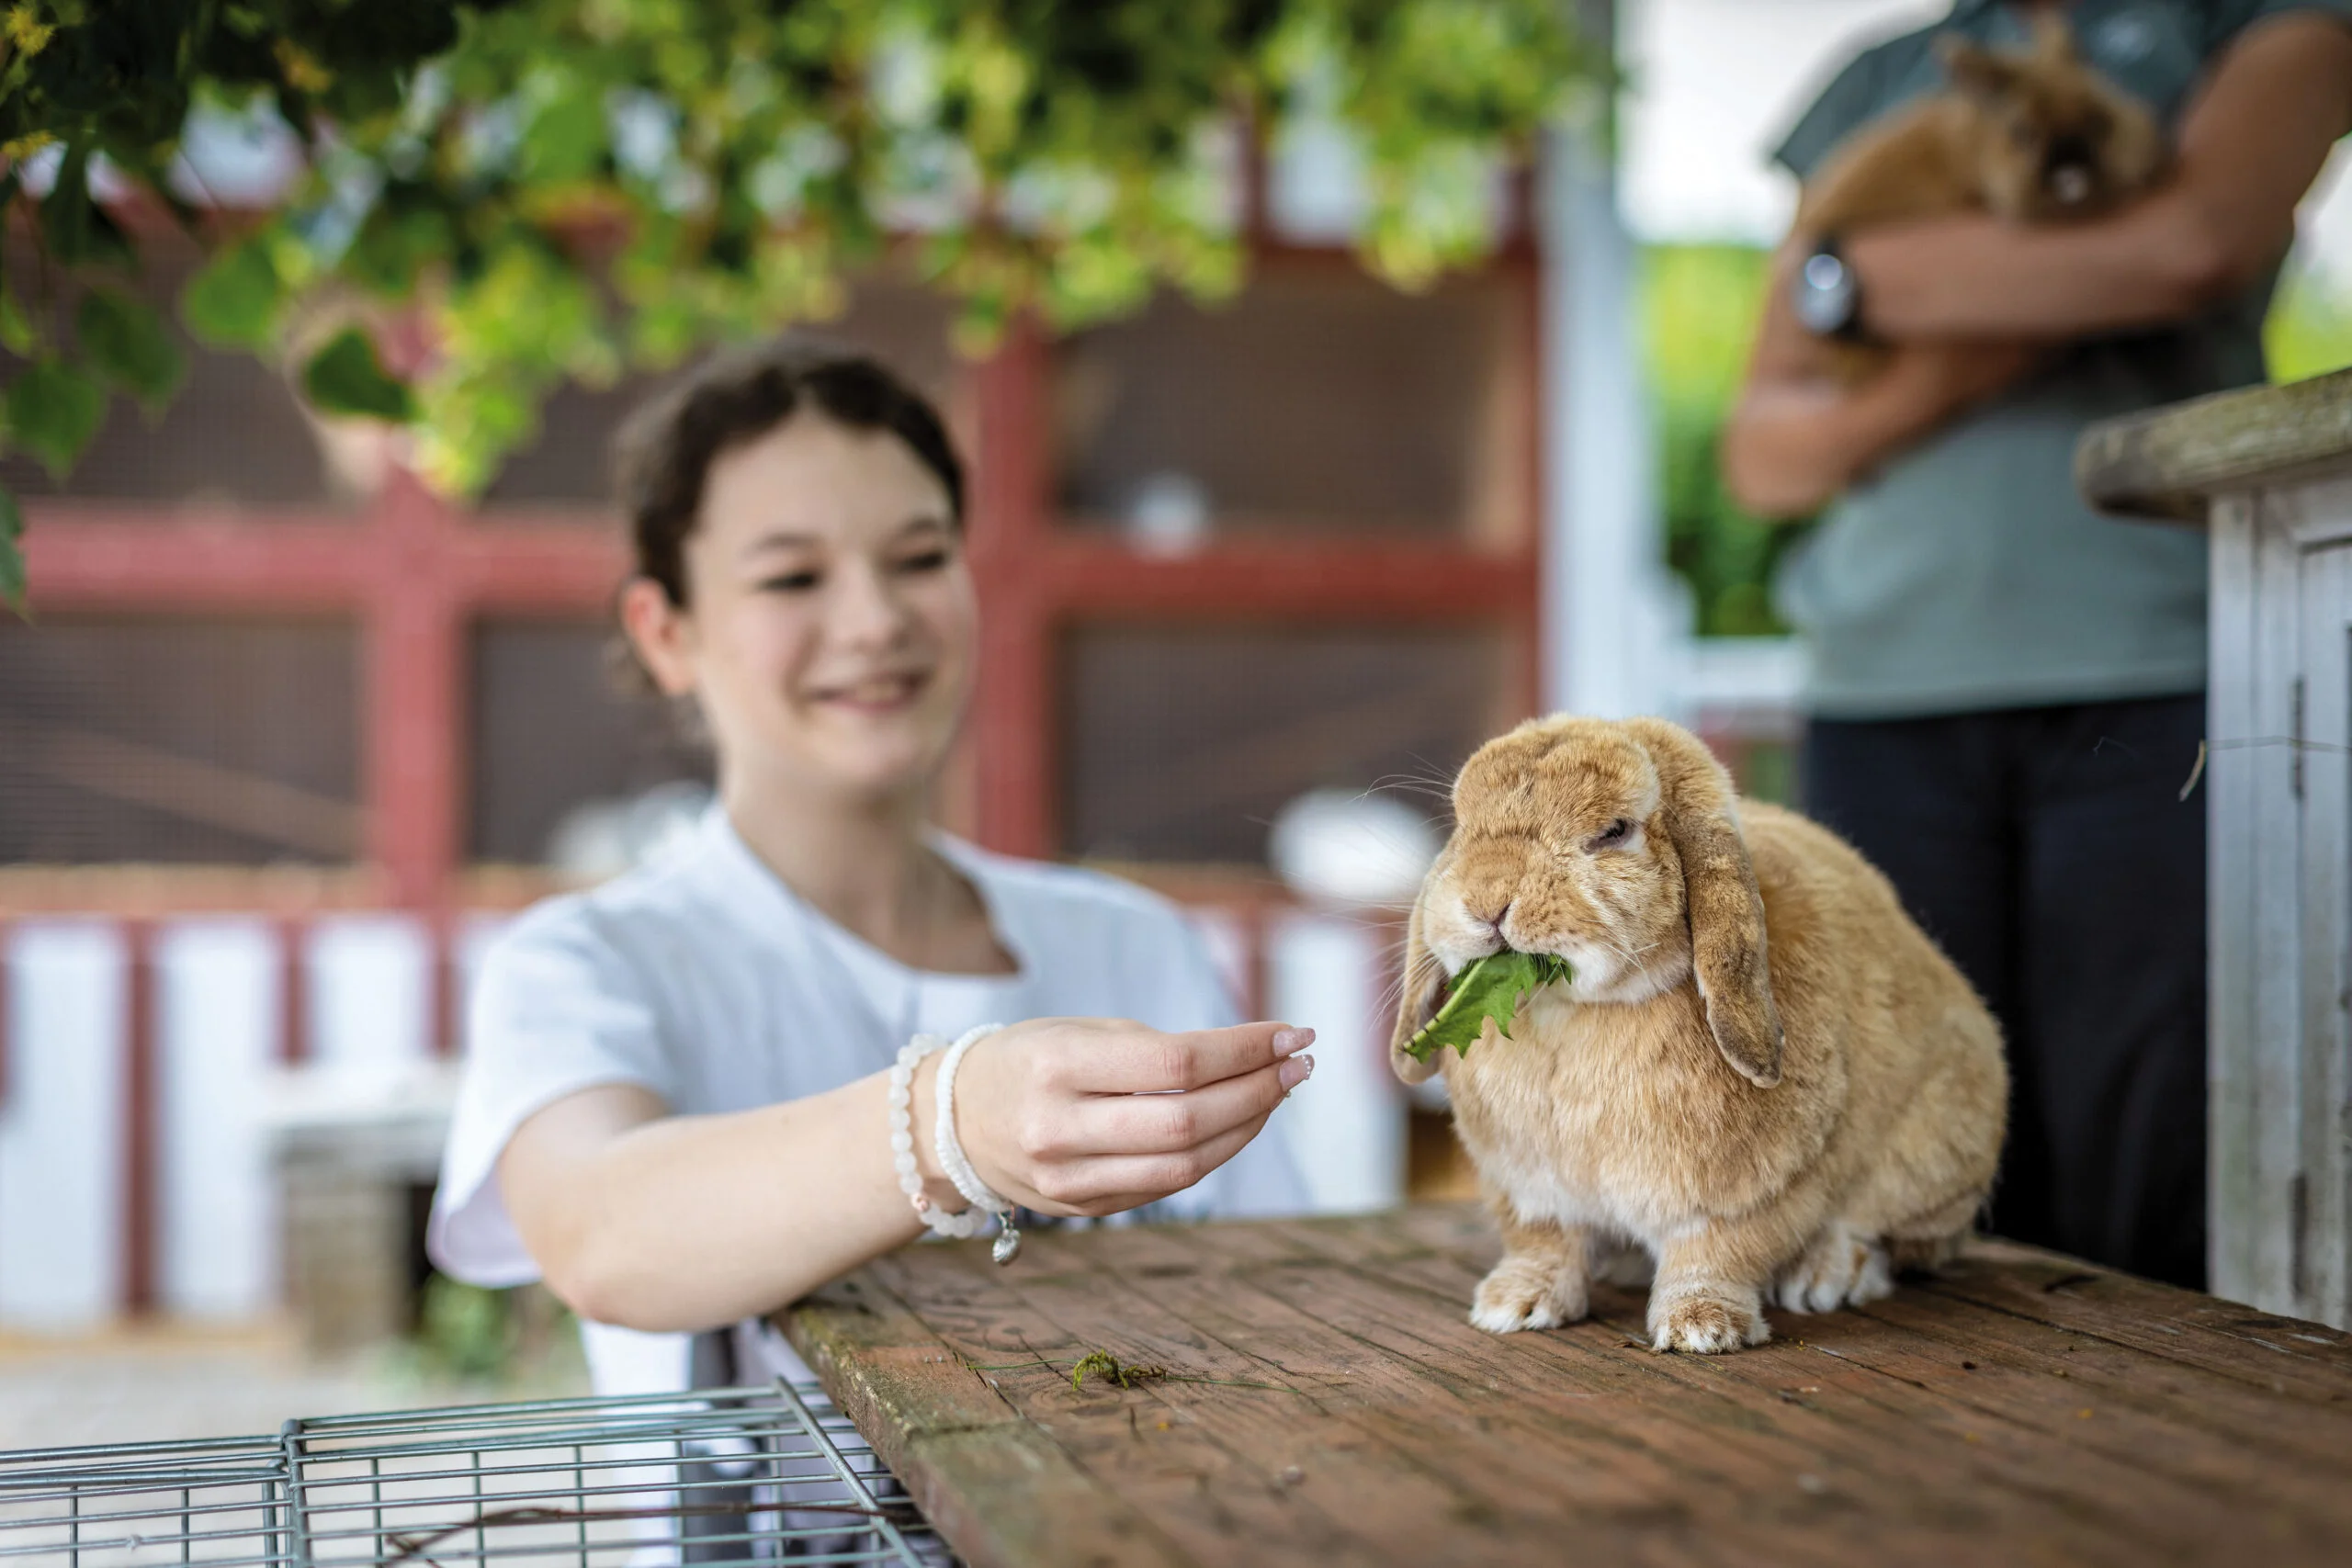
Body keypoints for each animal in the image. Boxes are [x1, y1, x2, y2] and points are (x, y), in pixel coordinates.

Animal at [1392, 719, 2004, 1354]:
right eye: (1462, 823)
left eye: (1614, 831)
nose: (1487, 900)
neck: (1582, 1011)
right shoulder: (1532, 1192)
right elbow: (1544, 1245)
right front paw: (1512, 1305)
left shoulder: (1749, 1194)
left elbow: (1716, 1253)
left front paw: (1701, 1327)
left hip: (1932, 1154)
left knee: (1885, 1236)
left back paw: (1825, 1278)